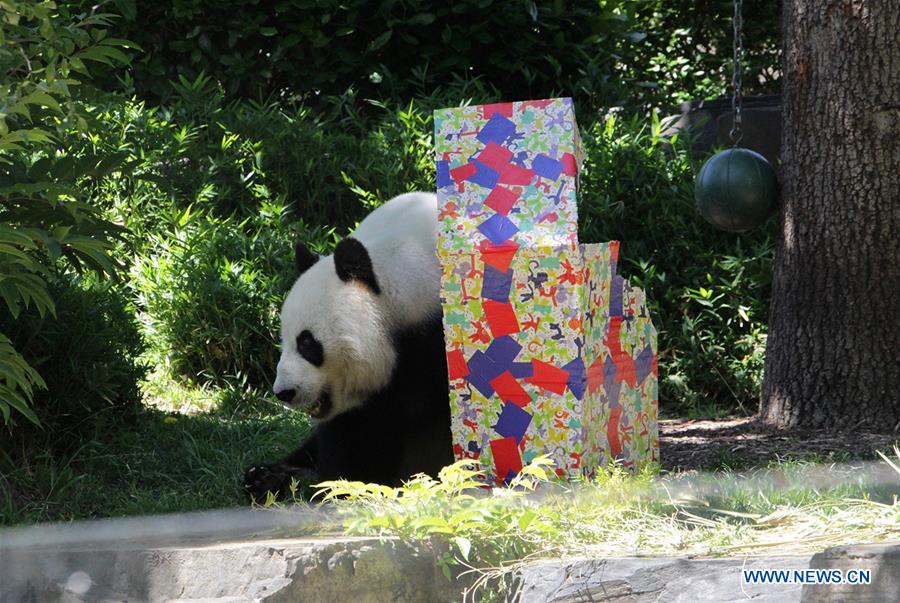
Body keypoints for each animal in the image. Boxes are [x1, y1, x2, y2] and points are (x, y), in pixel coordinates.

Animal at [243, 193, 454, 500]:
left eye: (307, 342)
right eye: (284, 340)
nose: (284, 392)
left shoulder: (434, 345)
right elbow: (351, 432)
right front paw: (344, 485)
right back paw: (265, 476)